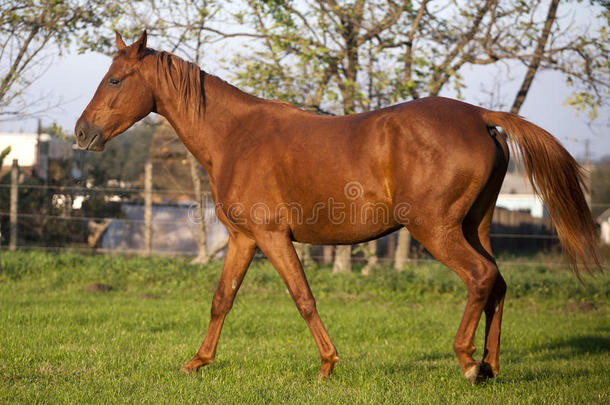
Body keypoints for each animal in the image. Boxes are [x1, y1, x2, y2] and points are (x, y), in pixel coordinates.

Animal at [73, 30, 596, 382]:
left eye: (115, 79)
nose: (81, 132)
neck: (236, 136)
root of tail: (480, 117)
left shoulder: (271, 236)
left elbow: (302, 297)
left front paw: (327, 364)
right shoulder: (243, 238)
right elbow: (223, 299)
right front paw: (198, 362)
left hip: (437, 230)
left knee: (481, 278)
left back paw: (468, 362)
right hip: (475, 226)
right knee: (499, 284)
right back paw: (491, 366)